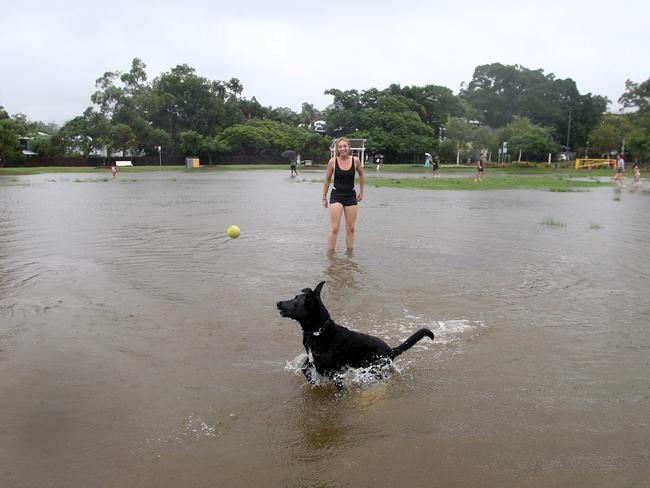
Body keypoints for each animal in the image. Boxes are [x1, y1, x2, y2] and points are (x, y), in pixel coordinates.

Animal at [274, 282, 432, 386]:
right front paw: (313, 381)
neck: (318, 332)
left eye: (295, 299)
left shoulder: (334, 373)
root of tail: (390, 351)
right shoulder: (312, 361)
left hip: (373, 370)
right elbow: (305, 368)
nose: (278, 302)